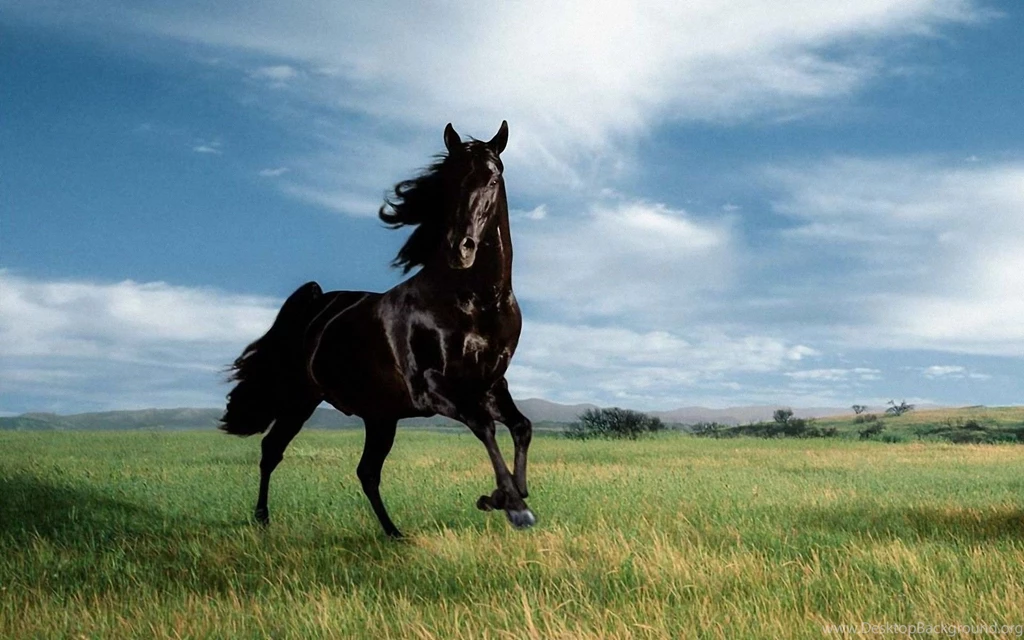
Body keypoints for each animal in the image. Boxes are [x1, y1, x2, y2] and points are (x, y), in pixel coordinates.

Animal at [219, 121, 534, 537]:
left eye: (493, 177)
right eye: (447, 181)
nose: (460, 249)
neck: (477, 302)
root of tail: (318, 303)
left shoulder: (491, 384)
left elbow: (522, 426)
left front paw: (509, 495)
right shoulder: (433, 388)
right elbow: (485, 427)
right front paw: (511, 504)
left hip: (379, 415)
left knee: (366, 472)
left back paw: (394, 533)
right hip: (300, 398)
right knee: (273, 449)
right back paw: (262, 519)